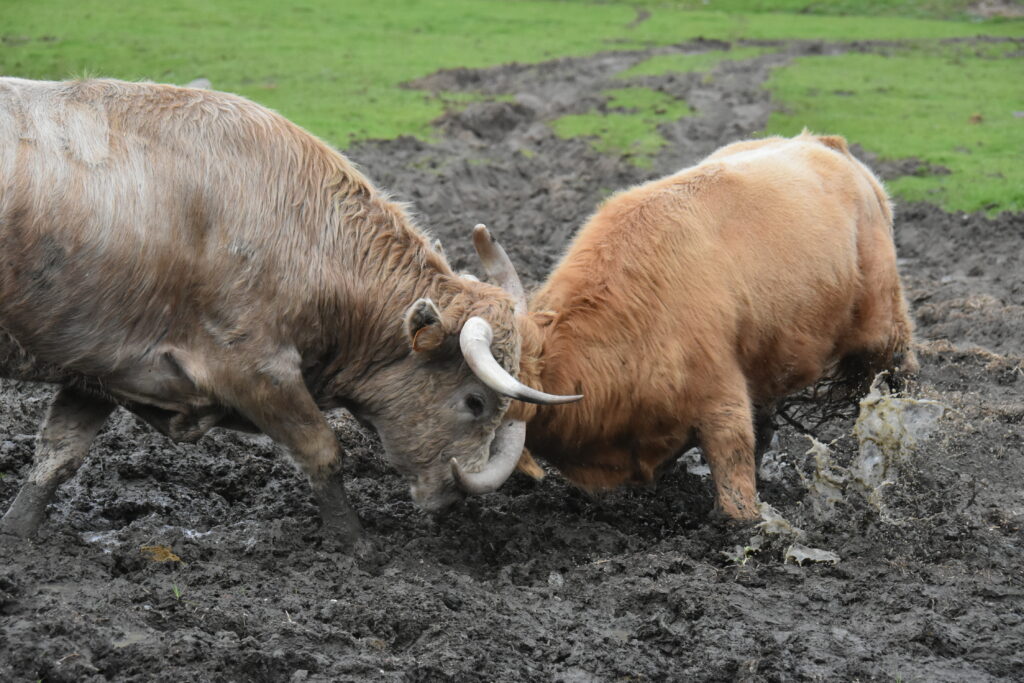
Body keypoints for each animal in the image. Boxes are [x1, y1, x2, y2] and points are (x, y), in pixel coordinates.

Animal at [0, 77, 580, 545]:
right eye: (476, 402)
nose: (454, 497)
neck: (301, 231)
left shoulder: (98, 368)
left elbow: (57, 455)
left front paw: (17, 536)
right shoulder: (256, 371)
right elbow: (321, 449)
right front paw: (359, 547)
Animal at [452, 132, 918, 521]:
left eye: (473, 400)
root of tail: (827, 145)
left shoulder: (723, 403)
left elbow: (736, 498)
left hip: (884, 326)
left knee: (902, 379)